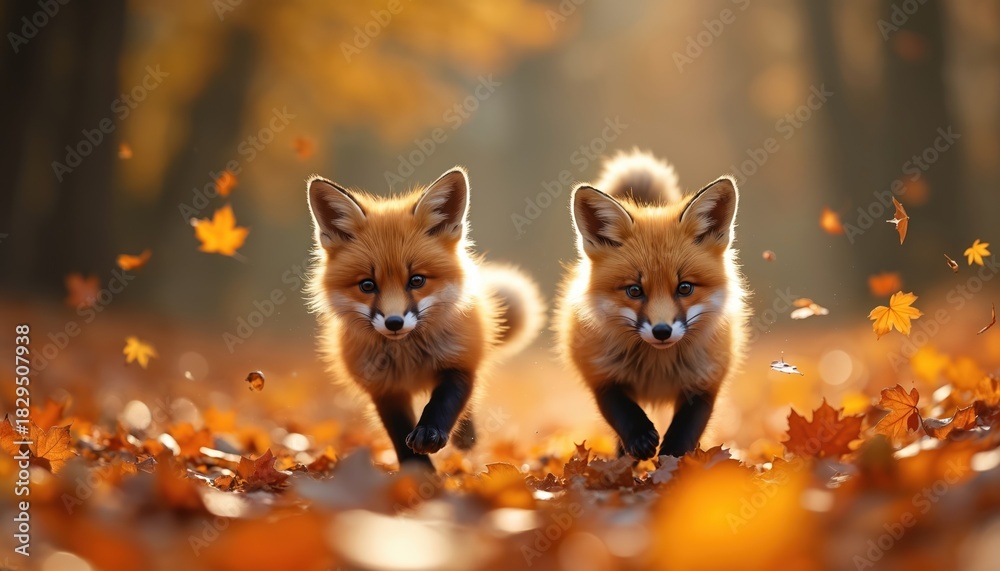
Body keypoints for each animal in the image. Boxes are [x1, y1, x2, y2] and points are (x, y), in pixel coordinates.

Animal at [306, 167, 544, 469]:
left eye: (417, 280)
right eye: (367, 285)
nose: (394, 322)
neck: (408, 358)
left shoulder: (459, 363)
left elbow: (446, 401)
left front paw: (431, 432)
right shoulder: (384, 389)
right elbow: (399, 434)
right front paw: (420, 474)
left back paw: (466, 436)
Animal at [555, 150, 748, 460]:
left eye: (684, 288)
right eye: (634, 290)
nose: (661, 331)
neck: (657, 367)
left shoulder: (705, 383)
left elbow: (686, 431)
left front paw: (674, 460)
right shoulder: (601, 376)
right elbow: (621, 412)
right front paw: (640, 440)